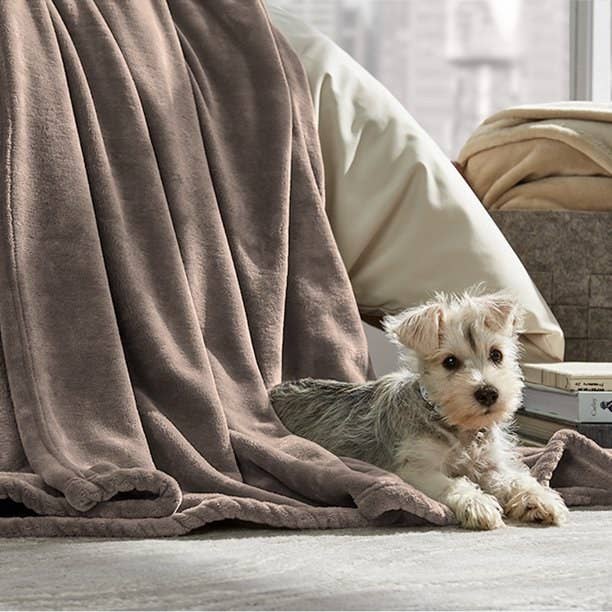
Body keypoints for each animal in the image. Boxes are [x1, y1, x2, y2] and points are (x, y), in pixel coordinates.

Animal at [270, 288, 572, 532]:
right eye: (450, 362)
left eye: (496, 354)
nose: (488, 392)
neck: (457, 426)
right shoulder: (416, 469)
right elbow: (453, 483)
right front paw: (478, 504)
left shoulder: (491, 466)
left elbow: (516, 480)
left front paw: (539, 499)